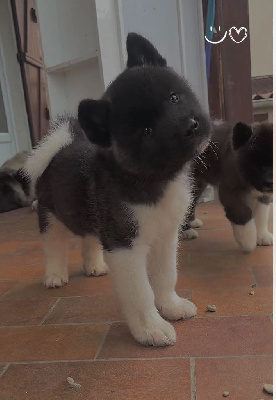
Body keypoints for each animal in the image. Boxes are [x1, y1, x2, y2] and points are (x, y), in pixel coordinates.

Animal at [23, 32, 210, 346]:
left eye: (174, 98)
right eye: (146, 131)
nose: (191, 126)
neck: (152, 179)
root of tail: (60, 148)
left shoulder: (165, 238)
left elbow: (165, 276)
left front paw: (170, 306)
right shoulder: (126, 247)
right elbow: (140, 292)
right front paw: (150, 328)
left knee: (88, 237)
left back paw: (95, 265)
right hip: (50, 218)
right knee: (54, 246)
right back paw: (55, 275)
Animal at [180, 121, 272, 253]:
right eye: (256, 165)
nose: (270, 183)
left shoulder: (262, 196)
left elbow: (261, 214)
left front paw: (262, 235)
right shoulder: (229, 191)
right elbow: (242, 212)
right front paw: (247, 239)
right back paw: (186, 231)